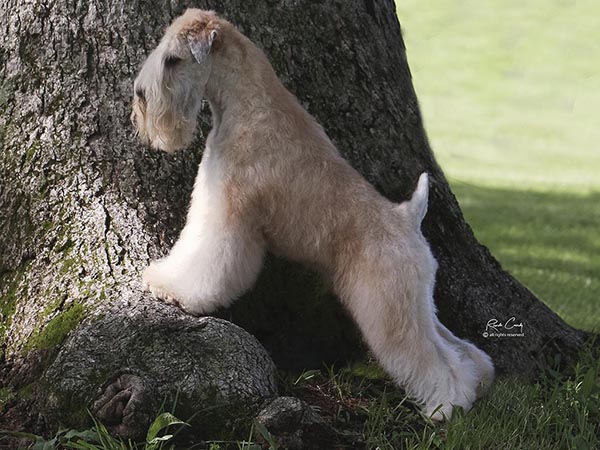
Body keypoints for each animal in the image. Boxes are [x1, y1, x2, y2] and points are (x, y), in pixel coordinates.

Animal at [130, 8, 492, 420]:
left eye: (173, 59)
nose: (139, 96)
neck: (250, 104)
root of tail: (408, 217)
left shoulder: (228, 212)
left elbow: (207, 257)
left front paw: (176, 291)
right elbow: (190, 247)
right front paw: (164, 276)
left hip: (389, 306)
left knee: (433, 361)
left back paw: (446, 407)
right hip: (418, 304)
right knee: (460, 349)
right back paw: (476, 383)